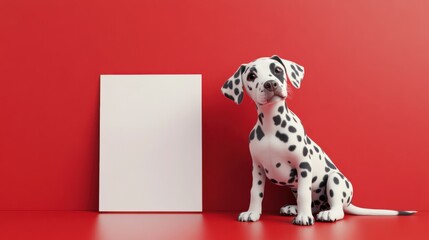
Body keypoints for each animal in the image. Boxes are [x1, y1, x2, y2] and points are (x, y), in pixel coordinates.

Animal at [221, 55, 414, 225]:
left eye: (277, 70)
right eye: (252, 76)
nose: (271, 84)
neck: (271, 126)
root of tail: (348, 202)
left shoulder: (303, 165)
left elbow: (304, 194)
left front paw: (303, 217)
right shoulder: (258, 169)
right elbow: (256, 192)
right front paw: (252, 213)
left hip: (335, 179)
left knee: (338, 209)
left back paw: (328, 213)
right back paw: (294, 208)